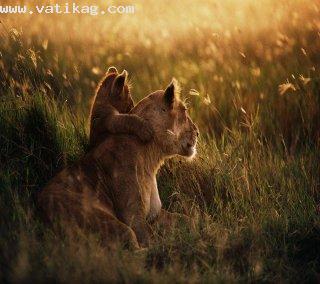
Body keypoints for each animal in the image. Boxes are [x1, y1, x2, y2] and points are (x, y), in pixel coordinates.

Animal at [37, 77, 198, 248]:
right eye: (185, 110)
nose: (198, 132)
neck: (151, 157)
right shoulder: (133, 217)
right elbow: (153, 240)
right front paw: (173, 245)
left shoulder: (154, 214)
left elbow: (187, 219)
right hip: (106, 221)